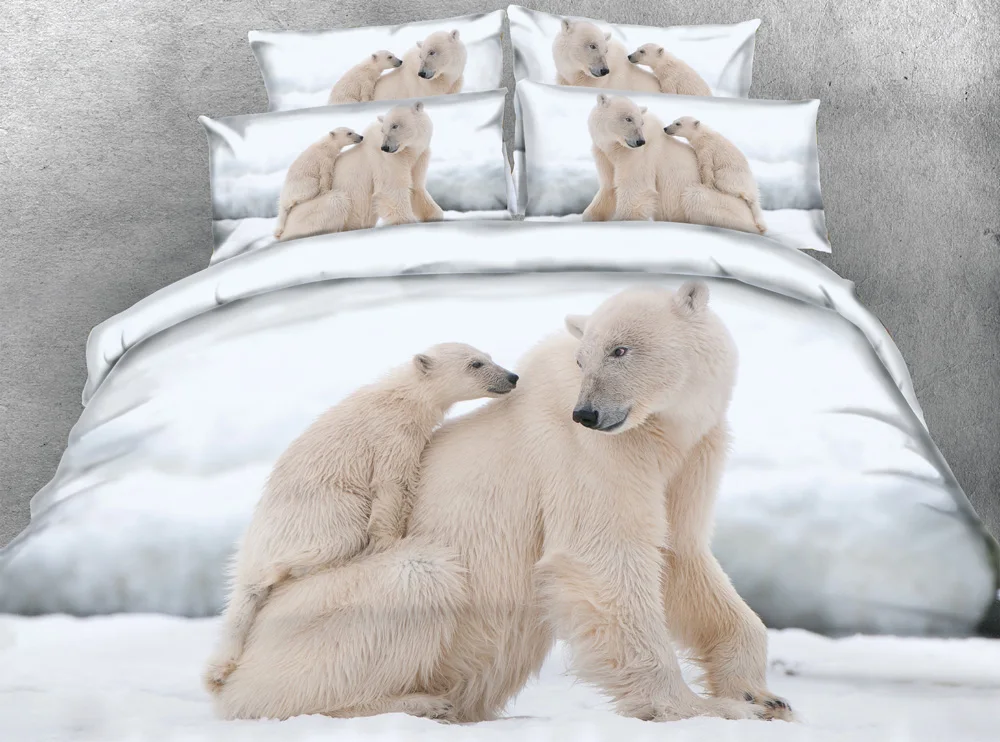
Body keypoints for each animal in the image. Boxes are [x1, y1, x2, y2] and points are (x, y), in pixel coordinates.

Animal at [202, 342, 519, 694]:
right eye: (475, 364)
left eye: (489, 357)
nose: (512, 376)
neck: (402, 396)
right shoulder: (392, 436)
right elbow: (393, 484)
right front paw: (389, 541)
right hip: (321, 513)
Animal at [277, 101, 443, 242]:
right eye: (384, 129)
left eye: (395, 126)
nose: (386, 147)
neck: (408, 152)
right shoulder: (386, 160)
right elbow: (392, 192)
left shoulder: (418, 158)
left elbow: (416, 189)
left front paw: (435, 216)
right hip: (309, 211)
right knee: (336, 201)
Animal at [583, 93, 760, 234]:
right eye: (628, 118)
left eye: (640, 122)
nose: (640, 141)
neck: (615, 148)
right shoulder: (604, 155)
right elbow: (608, 188)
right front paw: (588, 217)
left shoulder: (639, 156)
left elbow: (636, 190)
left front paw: (623, 220)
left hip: (723, 203)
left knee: (695, 196)